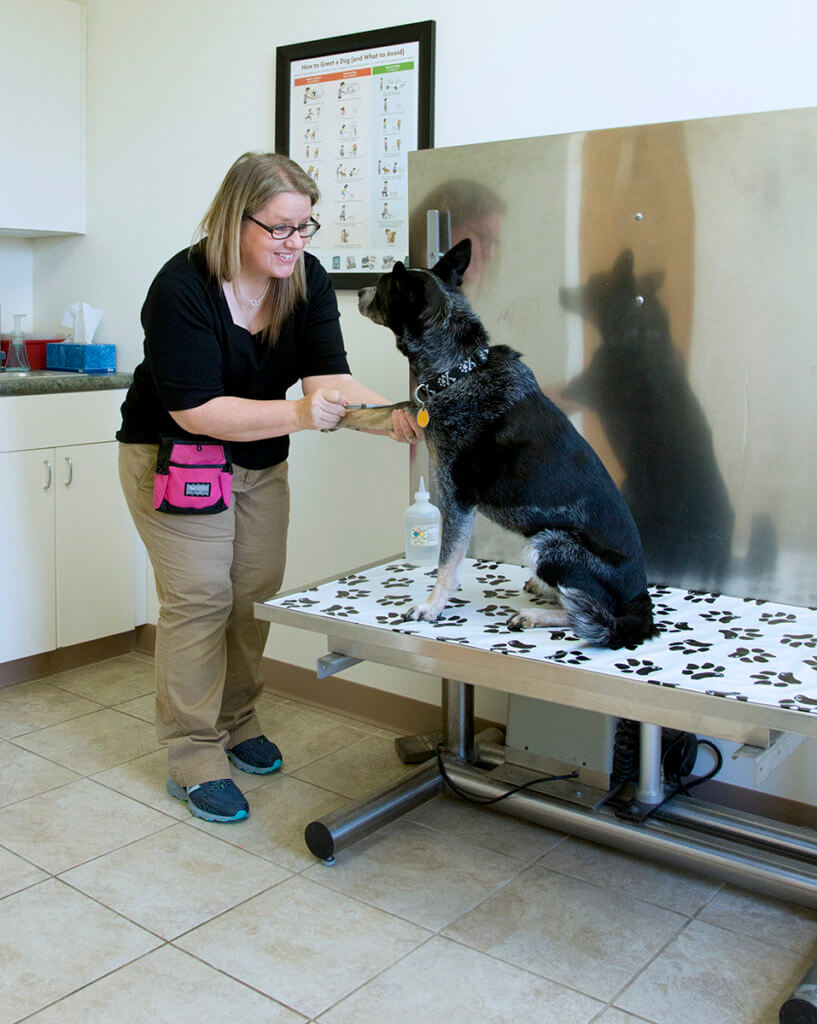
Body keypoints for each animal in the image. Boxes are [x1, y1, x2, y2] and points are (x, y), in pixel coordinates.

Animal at [356, 239, 659, 647]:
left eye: (383, 285)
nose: (358, 291)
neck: (459, 369)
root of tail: (641, 599)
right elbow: (378, 411)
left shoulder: (456, 497)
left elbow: (447, 561)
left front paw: (433, 606)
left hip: (548, 543)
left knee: (588, 615)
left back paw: (535, 614)